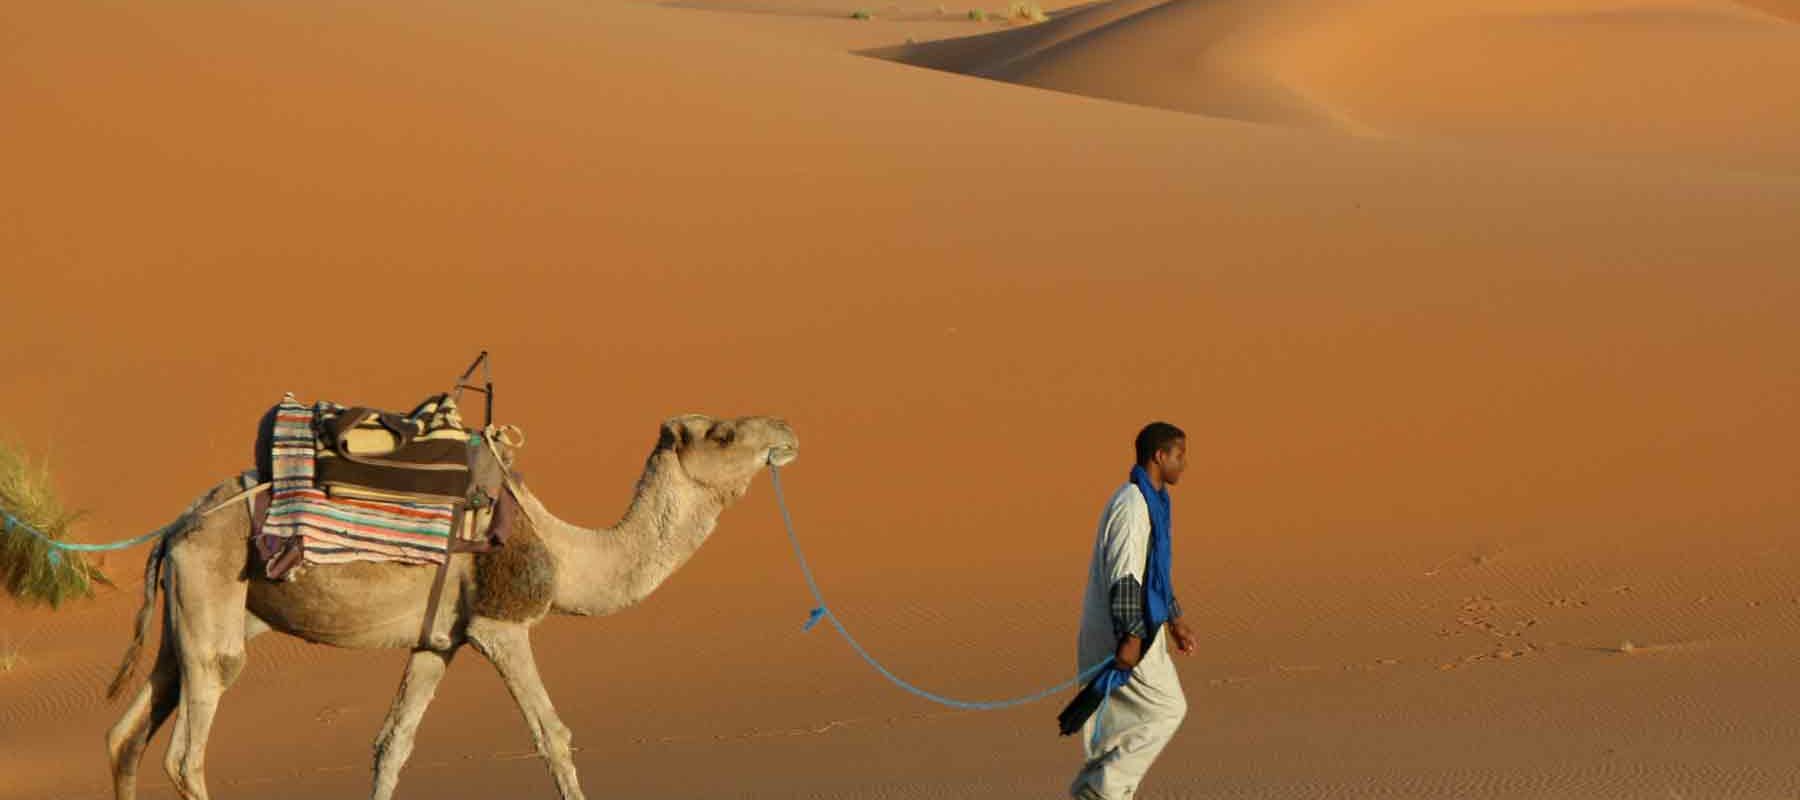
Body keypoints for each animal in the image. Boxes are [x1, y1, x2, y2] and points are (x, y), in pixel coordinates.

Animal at [102, 412, 799, 800]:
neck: (564, 552)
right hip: (213, 595)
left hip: (187, 617)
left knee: (126, 735)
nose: (787, 432)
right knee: (186, 753)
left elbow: (392, 742)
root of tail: (176, 528)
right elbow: (553, 735)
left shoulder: (438, 641)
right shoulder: (499, 624)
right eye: (724, 434)